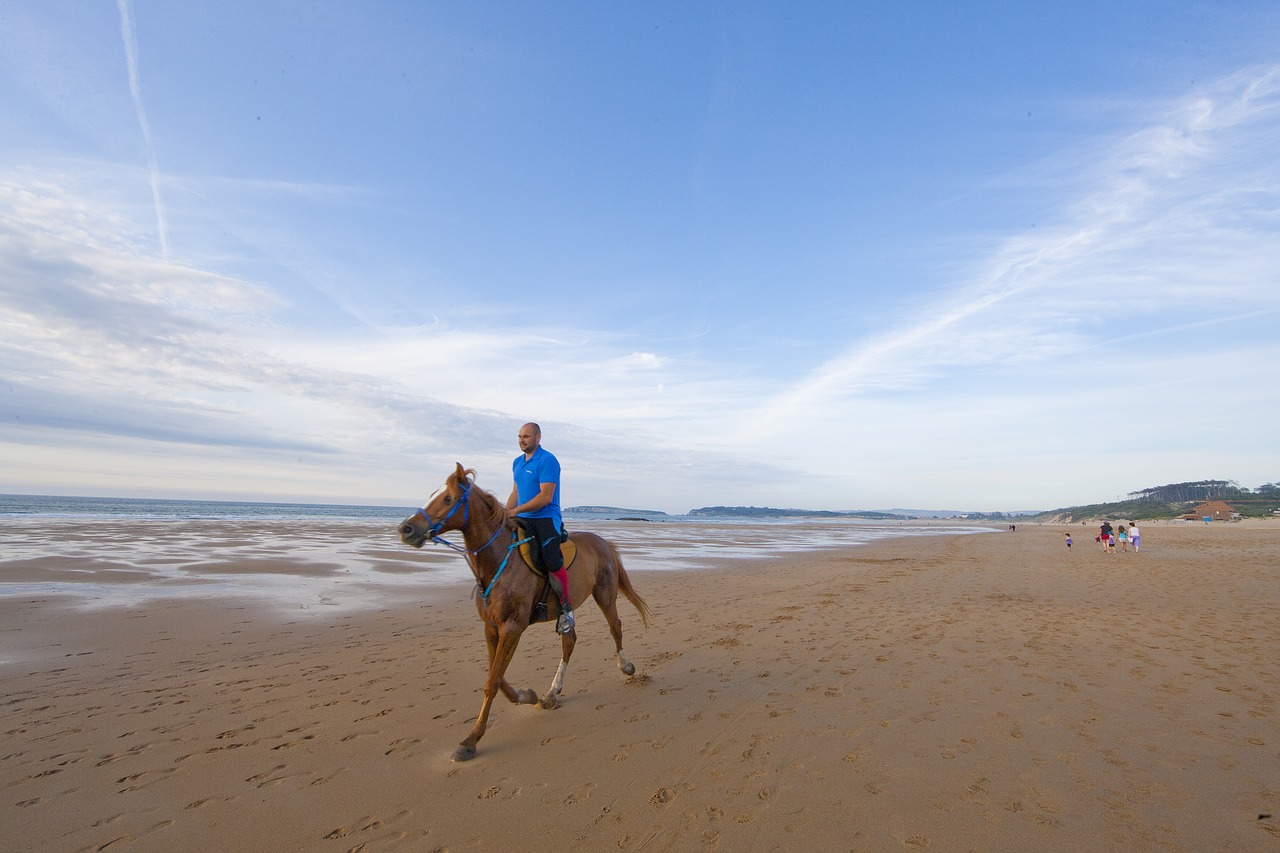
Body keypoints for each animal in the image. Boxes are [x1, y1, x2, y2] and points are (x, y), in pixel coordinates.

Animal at [396, 461, 650, 758]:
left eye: (447, 498)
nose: (406, 529)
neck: (498, 561)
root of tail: (604, 543)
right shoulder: (492, 627)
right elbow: (496, 675)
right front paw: (527, 695)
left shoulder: (513, 627)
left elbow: (492, 681)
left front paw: (470, 740)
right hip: (568, 609)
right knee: (569, 642)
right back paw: (552, 693)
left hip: (605, 595)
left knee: (615, 627)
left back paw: (626, 667)